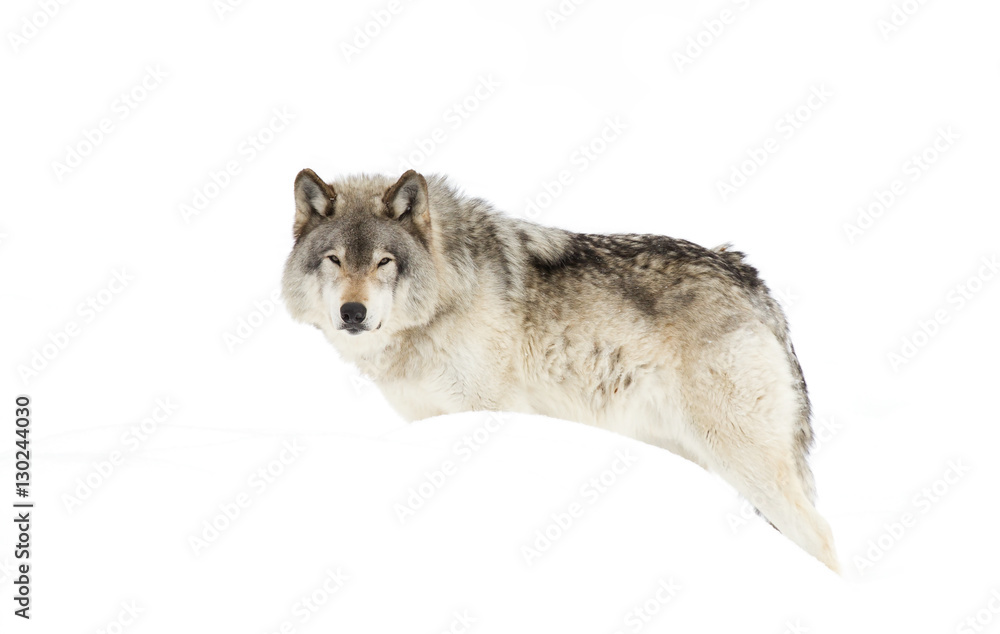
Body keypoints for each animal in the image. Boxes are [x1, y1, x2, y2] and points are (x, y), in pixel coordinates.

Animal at [282, 168, 840, 572]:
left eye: (384, 262)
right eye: (334, 259)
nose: (353, 313)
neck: (445, 296)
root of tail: (748, 276)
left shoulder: (492, 409)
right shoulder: (428, 419)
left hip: (745, 462)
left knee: (823, 536)